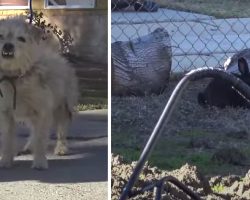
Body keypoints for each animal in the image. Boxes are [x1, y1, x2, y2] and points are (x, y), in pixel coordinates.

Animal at [0, 16, 78, 169]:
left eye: (21, 39)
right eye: (0, 36)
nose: (7, 46)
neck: (16, 76)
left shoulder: (42, 111)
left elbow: (41, 138)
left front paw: (40, 162)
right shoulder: (6, 113)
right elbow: (7, 138)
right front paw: (5, 160)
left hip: (62, 107)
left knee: (62, 129)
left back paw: (61, 148)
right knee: (33, 131)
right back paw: (30, 146)